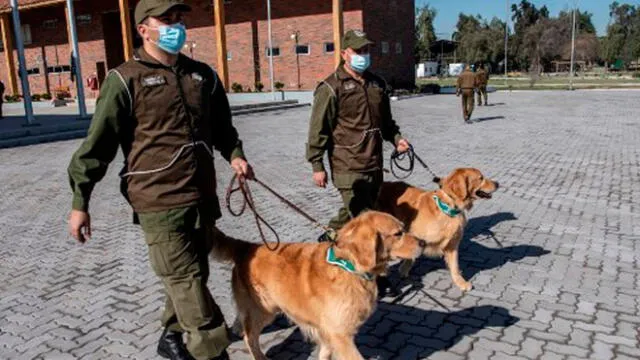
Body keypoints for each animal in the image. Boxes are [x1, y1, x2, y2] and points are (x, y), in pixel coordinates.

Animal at [210, 211, 424, 360]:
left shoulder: (328, 331)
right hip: (264, 310)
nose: (423, 242)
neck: (348, 267)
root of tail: (246, 246)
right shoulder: (341, 335)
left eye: (403, 228)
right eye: (398, 234)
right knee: (250, 337)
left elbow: (324, 353)